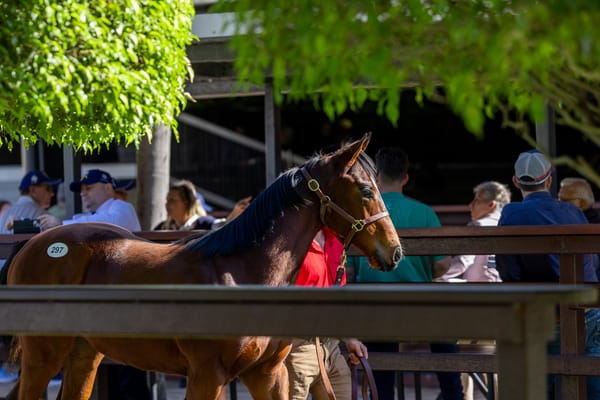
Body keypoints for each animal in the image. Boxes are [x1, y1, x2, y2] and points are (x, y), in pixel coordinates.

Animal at [2, 132, 404, 400]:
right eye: (366, 191)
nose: (396, 252)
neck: (242, 272)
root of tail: (33, 244)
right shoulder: (207, 375)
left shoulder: (267, 375)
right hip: (43, 356)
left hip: (84, 355)